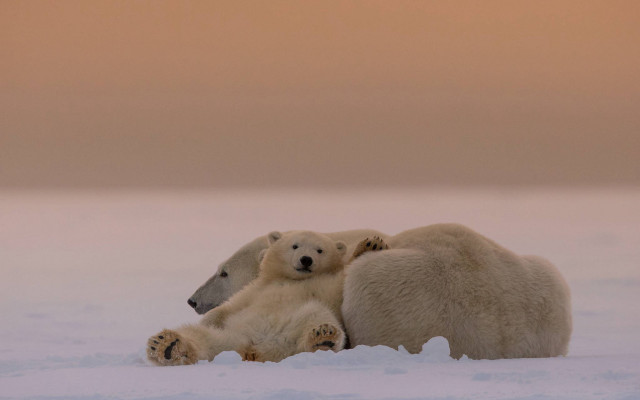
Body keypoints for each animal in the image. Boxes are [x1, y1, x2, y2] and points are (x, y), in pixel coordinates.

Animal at [147, 230, 377, 365]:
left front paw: (370, 246)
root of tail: (253, 350)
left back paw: (323, 337)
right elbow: (231, 306)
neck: (288, 279)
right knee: (199, 335)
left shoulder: (323, 285)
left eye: (320, 250)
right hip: (229, 336)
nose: (306, 259)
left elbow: (340, 284)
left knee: (316, 317)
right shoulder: (256, 288)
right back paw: (166, 345)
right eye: (295, 245)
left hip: (297, 326)